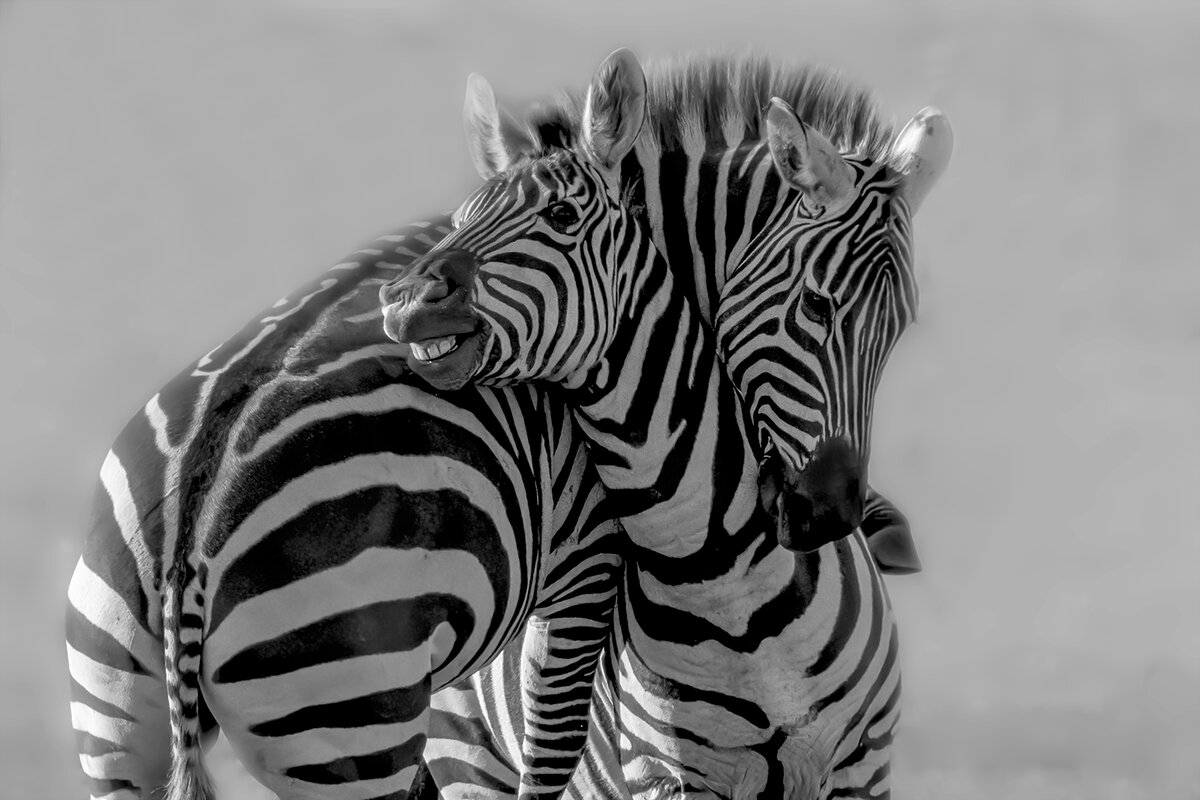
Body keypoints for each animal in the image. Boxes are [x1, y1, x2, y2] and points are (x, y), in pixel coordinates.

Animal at [380, 49, 951, 798]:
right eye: (817, 305)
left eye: (901, 327)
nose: (829, 513)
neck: (726, 582)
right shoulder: (669, 776)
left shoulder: (865, 768)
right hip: (467, 755)